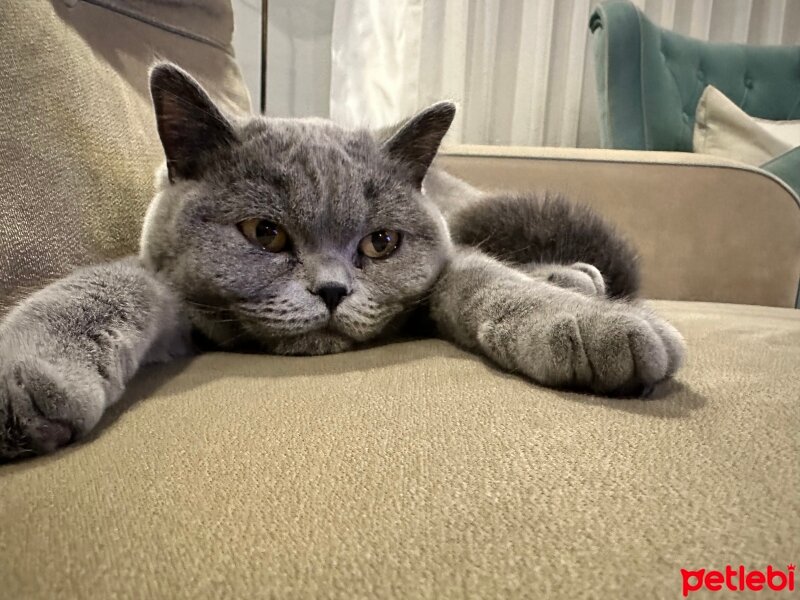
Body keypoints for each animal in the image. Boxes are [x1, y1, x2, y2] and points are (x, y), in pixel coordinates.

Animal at [0, 64, 684, 460]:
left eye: (380, 243)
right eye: (265, 233)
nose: (332, 291)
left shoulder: (438, 270)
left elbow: (478, 272)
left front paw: (592, 327)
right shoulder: (172, 292)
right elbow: (104, 286)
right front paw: (20, 380)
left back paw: (579, 279)